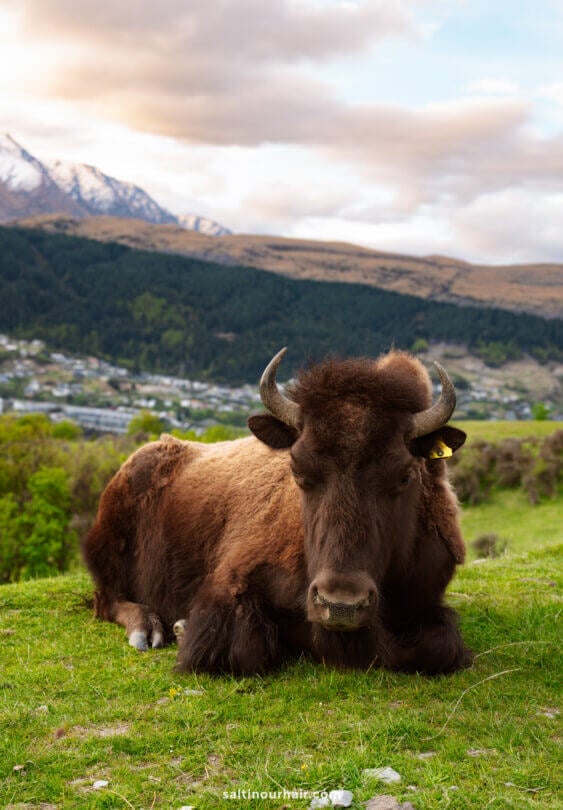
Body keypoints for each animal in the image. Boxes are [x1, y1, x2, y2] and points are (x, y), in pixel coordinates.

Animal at [84, 348, 471, 675]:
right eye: (297, 468)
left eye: (405, 475)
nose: (341, 604)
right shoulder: (229, 585)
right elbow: (243, 650)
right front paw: (182, 627)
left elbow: (439, 647)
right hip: (108, 553)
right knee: (109, 599)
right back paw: (148, 630)